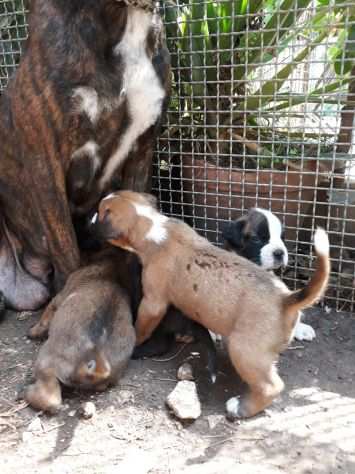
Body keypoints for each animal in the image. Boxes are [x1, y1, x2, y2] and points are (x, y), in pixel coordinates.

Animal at [25, 254, 136, 412]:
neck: (110, 270)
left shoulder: (57, 299)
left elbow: (46, 315)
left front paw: (33, 332)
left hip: (46, 362)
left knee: (50, 398)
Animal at [95, 191, 330, 420]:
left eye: (100, 212)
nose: (91, 218)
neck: (153, 224)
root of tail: (285, 300)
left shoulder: (153, 303)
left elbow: (141, 327)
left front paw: (136, 340)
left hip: (244, 351)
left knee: (271, 387)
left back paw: (240, 408)